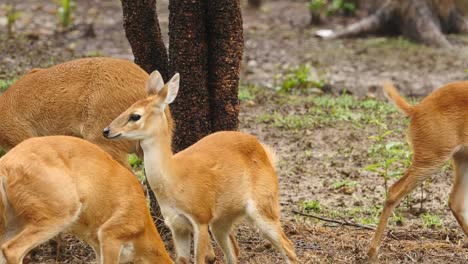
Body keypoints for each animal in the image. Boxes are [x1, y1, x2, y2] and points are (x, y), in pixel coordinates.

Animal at [0, 136, 173, 264]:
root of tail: (5, 165)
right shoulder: (111, 233)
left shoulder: (98, 245)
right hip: (58, 211)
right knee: (11, 249)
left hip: (13, 222)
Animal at [104, 71, 298, 262]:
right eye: (126, 108)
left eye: (135, 116)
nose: (106, 130)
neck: (174, 179)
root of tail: (266, 153)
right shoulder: (176, 224)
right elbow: (182, 260)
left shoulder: (200, 217)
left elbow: (200, 258)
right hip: (222, 221)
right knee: (234, 252)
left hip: (263, 205)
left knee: (288, 247)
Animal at [370, 82, 468, 260]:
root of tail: (416, 109)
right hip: (431, 161)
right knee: (393, 190)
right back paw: (372, 252)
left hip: (461, 158)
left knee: (456, 202)